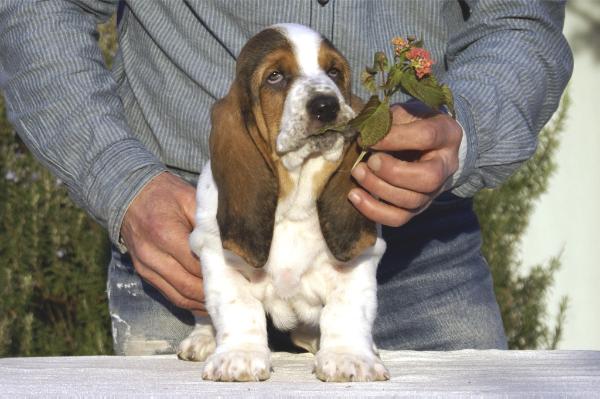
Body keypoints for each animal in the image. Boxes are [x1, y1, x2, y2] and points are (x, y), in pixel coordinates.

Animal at [177, 23, 390, 382]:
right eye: (275, 76)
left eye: (334, 72)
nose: (326, 106)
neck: (295, 195)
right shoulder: (218, 256)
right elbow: (239, 307)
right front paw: (239, 357)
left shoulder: (359, 260)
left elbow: (346, 309)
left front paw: (348, 357)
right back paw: (203, 339)